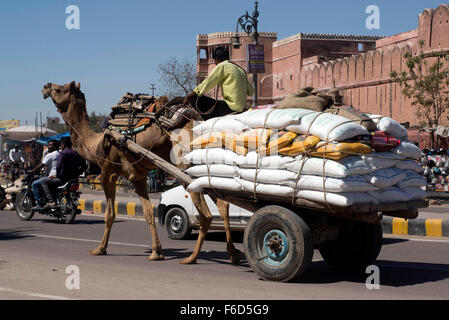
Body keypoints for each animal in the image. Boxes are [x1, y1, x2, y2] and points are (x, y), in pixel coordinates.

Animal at [42, 80, 242, 264]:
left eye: (60, 89)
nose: (46, 86)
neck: (95, 143)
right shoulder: (137, 176)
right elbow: (148, 212)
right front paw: (156, 252)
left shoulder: (107, 171)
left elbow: (110, 213)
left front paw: (100, 248)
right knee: (223, 205)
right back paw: (233, 253)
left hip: (186, 169)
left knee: (206, 215)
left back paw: (192, 258)